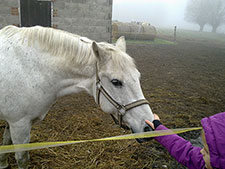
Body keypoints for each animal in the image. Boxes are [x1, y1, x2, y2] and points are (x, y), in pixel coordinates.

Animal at [0, 25, 154, 169]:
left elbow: (5, 141)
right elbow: (22, 158)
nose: (149, 127)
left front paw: (2, 163)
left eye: (138, 77)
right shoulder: (19, 124)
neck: (31, 71)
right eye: (116, 82)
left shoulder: (13, 122)